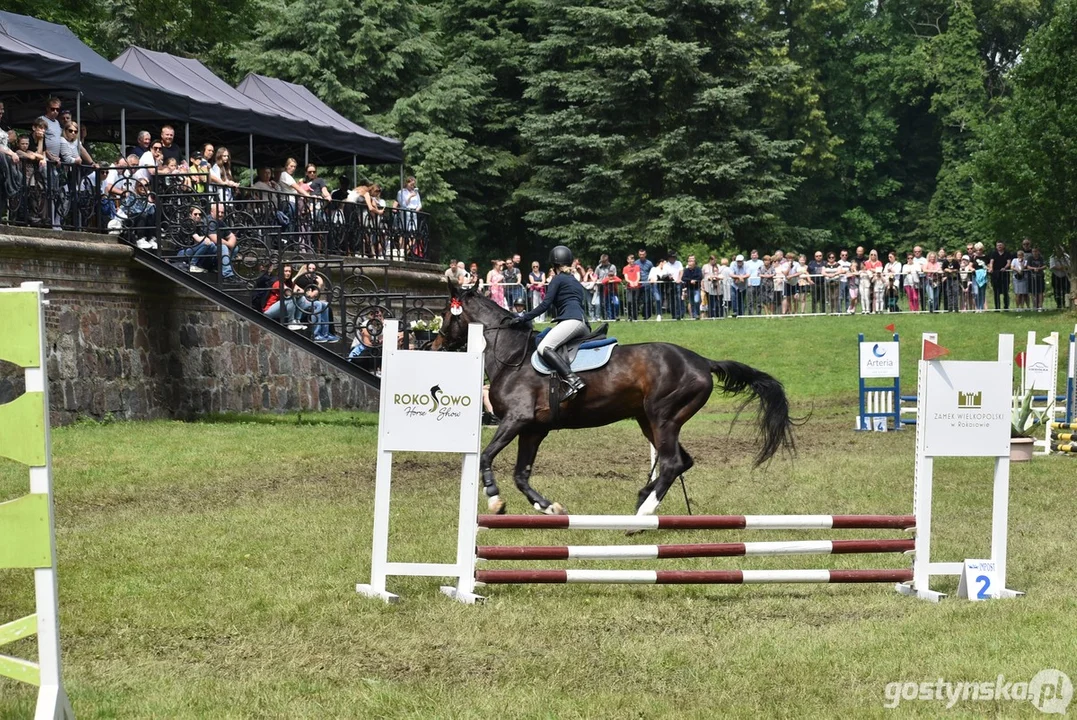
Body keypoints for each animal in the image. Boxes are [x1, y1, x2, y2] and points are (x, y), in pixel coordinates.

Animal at [430, 284, 801, 516]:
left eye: (446, 313)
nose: (434, 345)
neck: (511, 355)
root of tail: (701, 361)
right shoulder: (533, 429)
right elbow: (522, 475)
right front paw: (549, 507)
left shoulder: (516, 420)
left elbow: (486, 456)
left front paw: (494, 500)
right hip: (650, 421)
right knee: (683, 461)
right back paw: (643, 498)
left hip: (663, 417)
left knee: (672, 463)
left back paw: (645, 512)